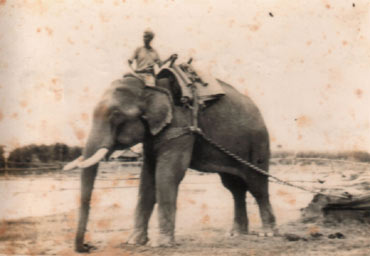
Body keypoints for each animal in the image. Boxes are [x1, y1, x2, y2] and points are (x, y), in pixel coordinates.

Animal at [65, 67, 276, 252]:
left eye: (116, 115)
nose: (87, 247)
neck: (151, 86)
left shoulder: (180, 125)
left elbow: (168, 174)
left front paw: (161, 245)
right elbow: (147, 178)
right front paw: (134, 242)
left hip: (258, 143)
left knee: (257, 186)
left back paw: (267, 233)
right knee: (234, 188)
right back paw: (236, 234)